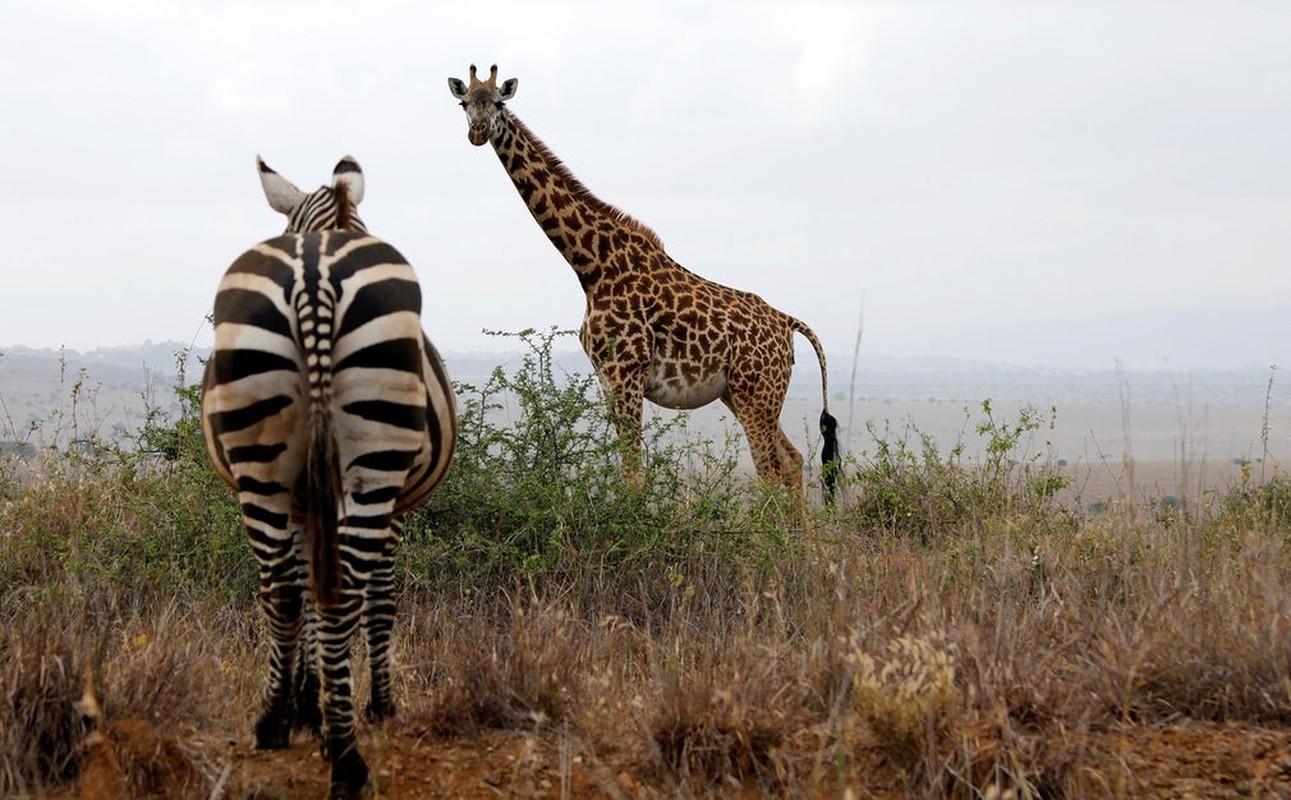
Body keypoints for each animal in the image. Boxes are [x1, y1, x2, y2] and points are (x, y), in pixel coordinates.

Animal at [201, 154, 459, 794]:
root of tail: (315, 271)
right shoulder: (392, 509)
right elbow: (380, 598)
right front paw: (370, 706)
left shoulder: (303, 500)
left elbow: (305, 590)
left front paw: (305, 705)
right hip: (374, 463)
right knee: (341, 593)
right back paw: (344, 754)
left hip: (262, 462)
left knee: (282, 590)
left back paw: (277, 723)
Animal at [449, 64, 841, 500]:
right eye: (464, 103)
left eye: (499, 103)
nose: (478, 132)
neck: (591, 266)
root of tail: (789, 323)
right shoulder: (607, 379)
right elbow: (629, 470)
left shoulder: (628, 373)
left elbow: (634, 476)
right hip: (742, 395)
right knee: (792, 462)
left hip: (757, 392)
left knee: (770, 472)